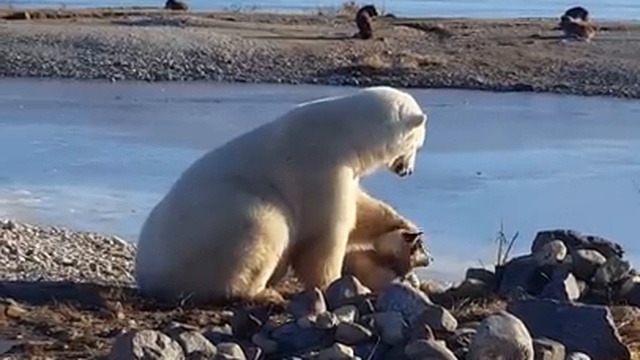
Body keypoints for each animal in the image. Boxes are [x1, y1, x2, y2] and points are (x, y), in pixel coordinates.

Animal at [133, 86, 428, 304]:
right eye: (419, 144)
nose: (408, 171)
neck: (345, 132)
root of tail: (148, 275)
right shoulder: (321, 167)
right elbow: (325, 233)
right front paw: (339, 284)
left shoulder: (344, 171)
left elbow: (361, 208)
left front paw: (403, 224)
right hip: (222, 225)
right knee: (266, 228)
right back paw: (264, 292)